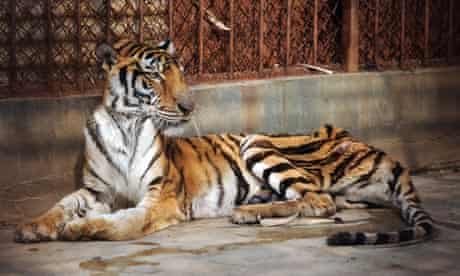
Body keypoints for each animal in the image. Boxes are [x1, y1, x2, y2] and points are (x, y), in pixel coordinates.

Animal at [13, 38, 432, 246]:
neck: (126, 125)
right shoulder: (96, 190)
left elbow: (126, 222)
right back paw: (251, 210)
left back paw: (247, 212)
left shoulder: (161, 196)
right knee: (323, 202)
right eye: (154, 75)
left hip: (258, 142)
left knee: (318, 201)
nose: (189, 105)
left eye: (180, 72)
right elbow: (62, 204)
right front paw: (33, 226)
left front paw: (81, 229)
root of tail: (368, 145)